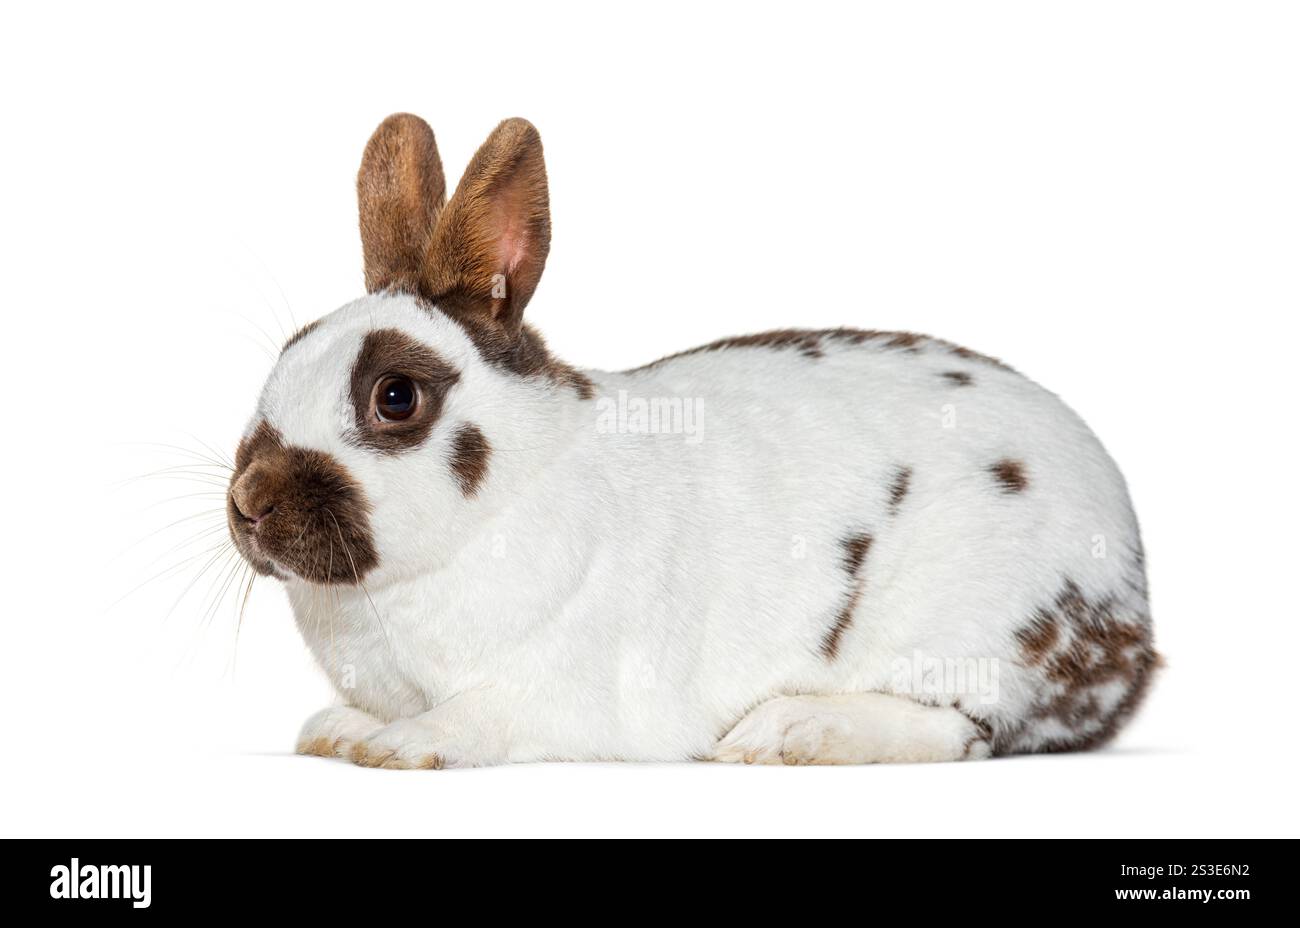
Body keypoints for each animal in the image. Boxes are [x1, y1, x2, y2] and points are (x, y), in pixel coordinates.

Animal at [227, 113, 1156, 768]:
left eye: (396, 397)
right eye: (287, 355)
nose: (248, 504)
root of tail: (1135, 609)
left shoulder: (554, 691)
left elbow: (479, 717)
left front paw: (398, 746)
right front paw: (337, 730)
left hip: (973, 633)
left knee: (966, 728)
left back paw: (788, 731)